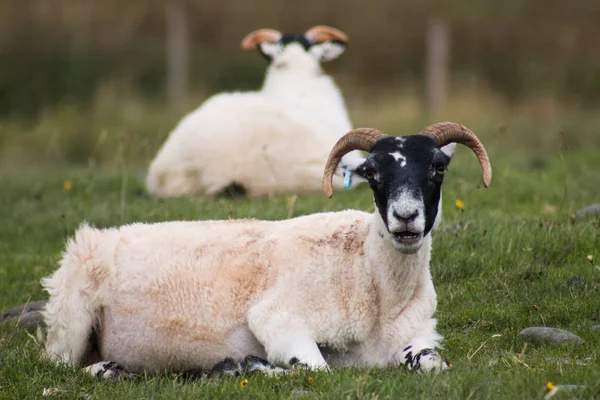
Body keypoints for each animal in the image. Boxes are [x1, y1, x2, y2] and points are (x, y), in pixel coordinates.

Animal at [43, 122, 492, 378]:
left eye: (438, 167)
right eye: (372, 172)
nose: (405, 216)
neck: (370, 277)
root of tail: (95, 237)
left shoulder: (415, 337)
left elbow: (436, 364)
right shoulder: (278, 320)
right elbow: (316, 371)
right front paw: (243, 367)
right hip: (72, 320)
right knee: (61, 365)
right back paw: (109, 370)